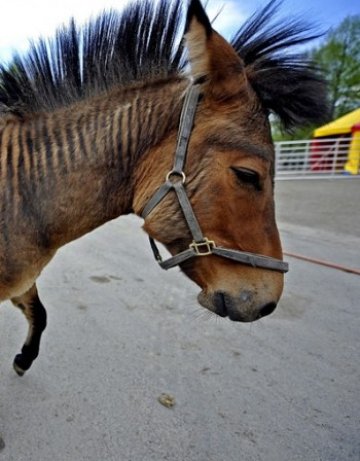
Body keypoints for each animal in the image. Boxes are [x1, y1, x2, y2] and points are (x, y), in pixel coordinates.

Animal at [0, 0, 328, 374]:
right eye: (247, 174)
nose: (268, 303)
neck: (20, 190)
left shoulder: (21, 280)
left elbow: (38, 313)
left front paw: (24, 359)